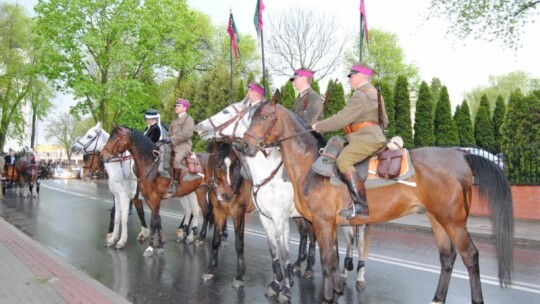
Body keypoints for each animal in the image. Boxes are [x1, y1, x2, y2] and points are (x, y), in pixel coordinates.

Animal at [100, 126, 204, 256]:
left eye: (114, 137)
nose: (102, 156)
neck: (150, 165)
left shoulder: (147, 197)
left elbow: (147, 220)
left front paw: (148, 246)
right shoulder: (141, 198)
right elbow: (153, 219)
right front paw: (159, 243)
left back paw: (199, 238)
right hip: (189, 194)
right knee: (192, 212)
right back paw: (186, 235)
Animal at [195, 100, 372, 302]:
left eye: (225, 111)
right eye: (217, 164)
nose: (199, 127)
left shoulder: (251, 213)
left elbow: (267, 248)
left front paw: (280, 287)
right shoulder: (230, 212)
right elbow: (226, 242)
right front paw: (211, 270)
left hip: (351, 222)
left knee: (355, 243)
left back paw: (354, 276)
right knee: (312, 237)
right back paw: (309, 267)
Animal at [242, 95, 516, 304]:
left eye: (264, 117)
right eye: (251, 117)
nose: (245, 146)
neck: (310, 166)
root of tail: (460, 155)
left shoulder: (319, 223)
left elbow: (326, 262)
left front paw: (328, 297)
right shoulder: (326, 225)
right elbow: (331, 261)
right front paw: (336, 292)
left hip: (453, 221)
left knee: (470, 256)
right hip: (437, 219)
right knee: (447, 257)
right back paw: (437, 298)